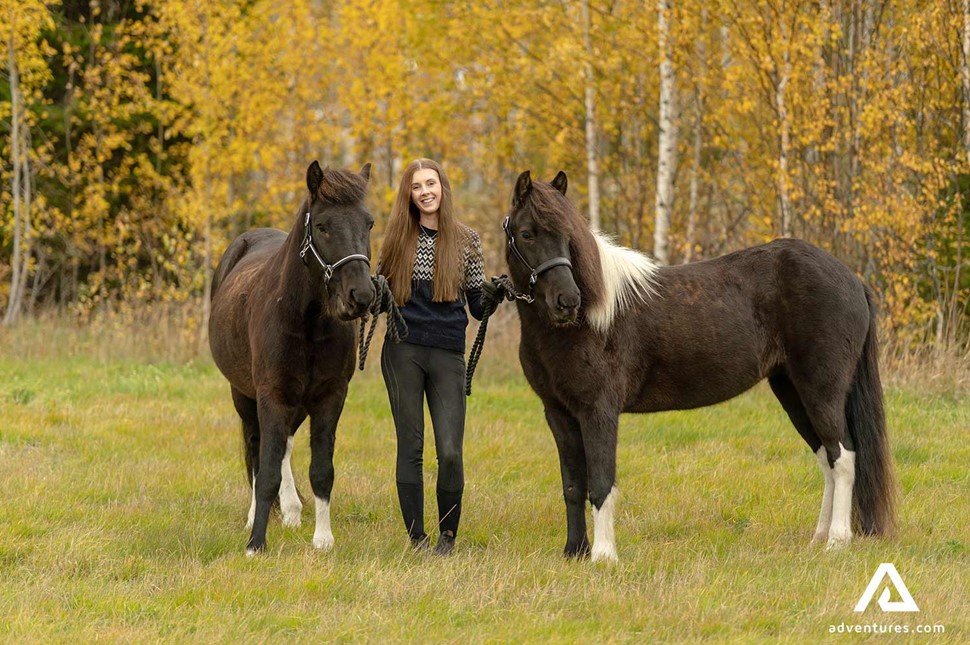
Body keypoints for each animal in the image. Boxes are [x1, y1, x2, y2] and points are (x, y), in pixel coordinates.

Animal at [208, 161, 374, 552]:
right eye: (323, 226)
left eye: (369, 223)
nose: (361, 296)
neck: (306, 320)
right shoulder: (271, 395)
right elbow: (266, 468)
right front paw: (256, 543)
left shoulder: (330, 397)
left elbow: (321, 470)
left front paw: (323, 539)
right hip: (244, 395)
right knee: (257, 448)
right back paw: (257, 515)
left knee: (283, 446)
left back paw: (293, 510)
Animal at [502, 171, 896, 564]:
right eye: (527, 233)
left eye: (568, 236)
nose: (567, 301)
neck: (589, 321)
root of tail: (852, 279)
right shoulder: (559, 413)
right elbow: (573, 485)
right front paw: (575, 552)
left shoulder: (599, 411)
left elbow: (600, 484)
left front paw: (603, 557)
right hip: (792, 391)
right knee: (827, 459)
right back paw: (818, 538)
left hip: (822, 391)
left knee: (843, 456)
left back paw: (837, 541)